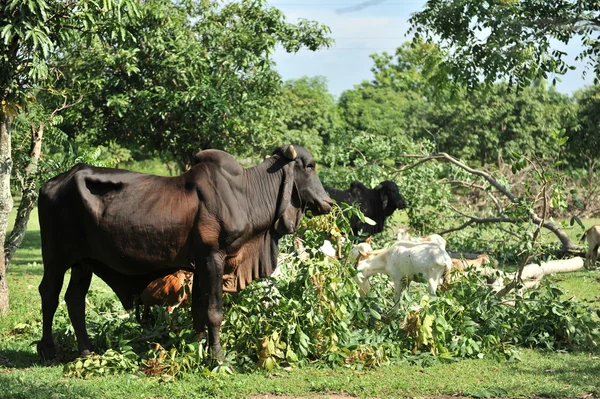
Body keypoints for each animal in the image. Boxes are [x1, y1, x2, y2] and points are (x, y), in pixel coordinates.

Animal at [37, 145, 332, 360]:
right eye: (309, 166)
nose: (327, 202)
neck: (244, 194)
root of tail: (50, 183)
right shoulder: (212, 257)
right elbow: (214, 311)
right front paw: (217, 356)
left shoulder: (200, 264)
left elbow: (199, 311)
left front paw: (198, 347)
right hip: (55, 258)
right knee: (49, 294)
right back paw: (48, 349)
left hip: (83, 262)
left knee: (75, 300)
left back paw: (86, 351)